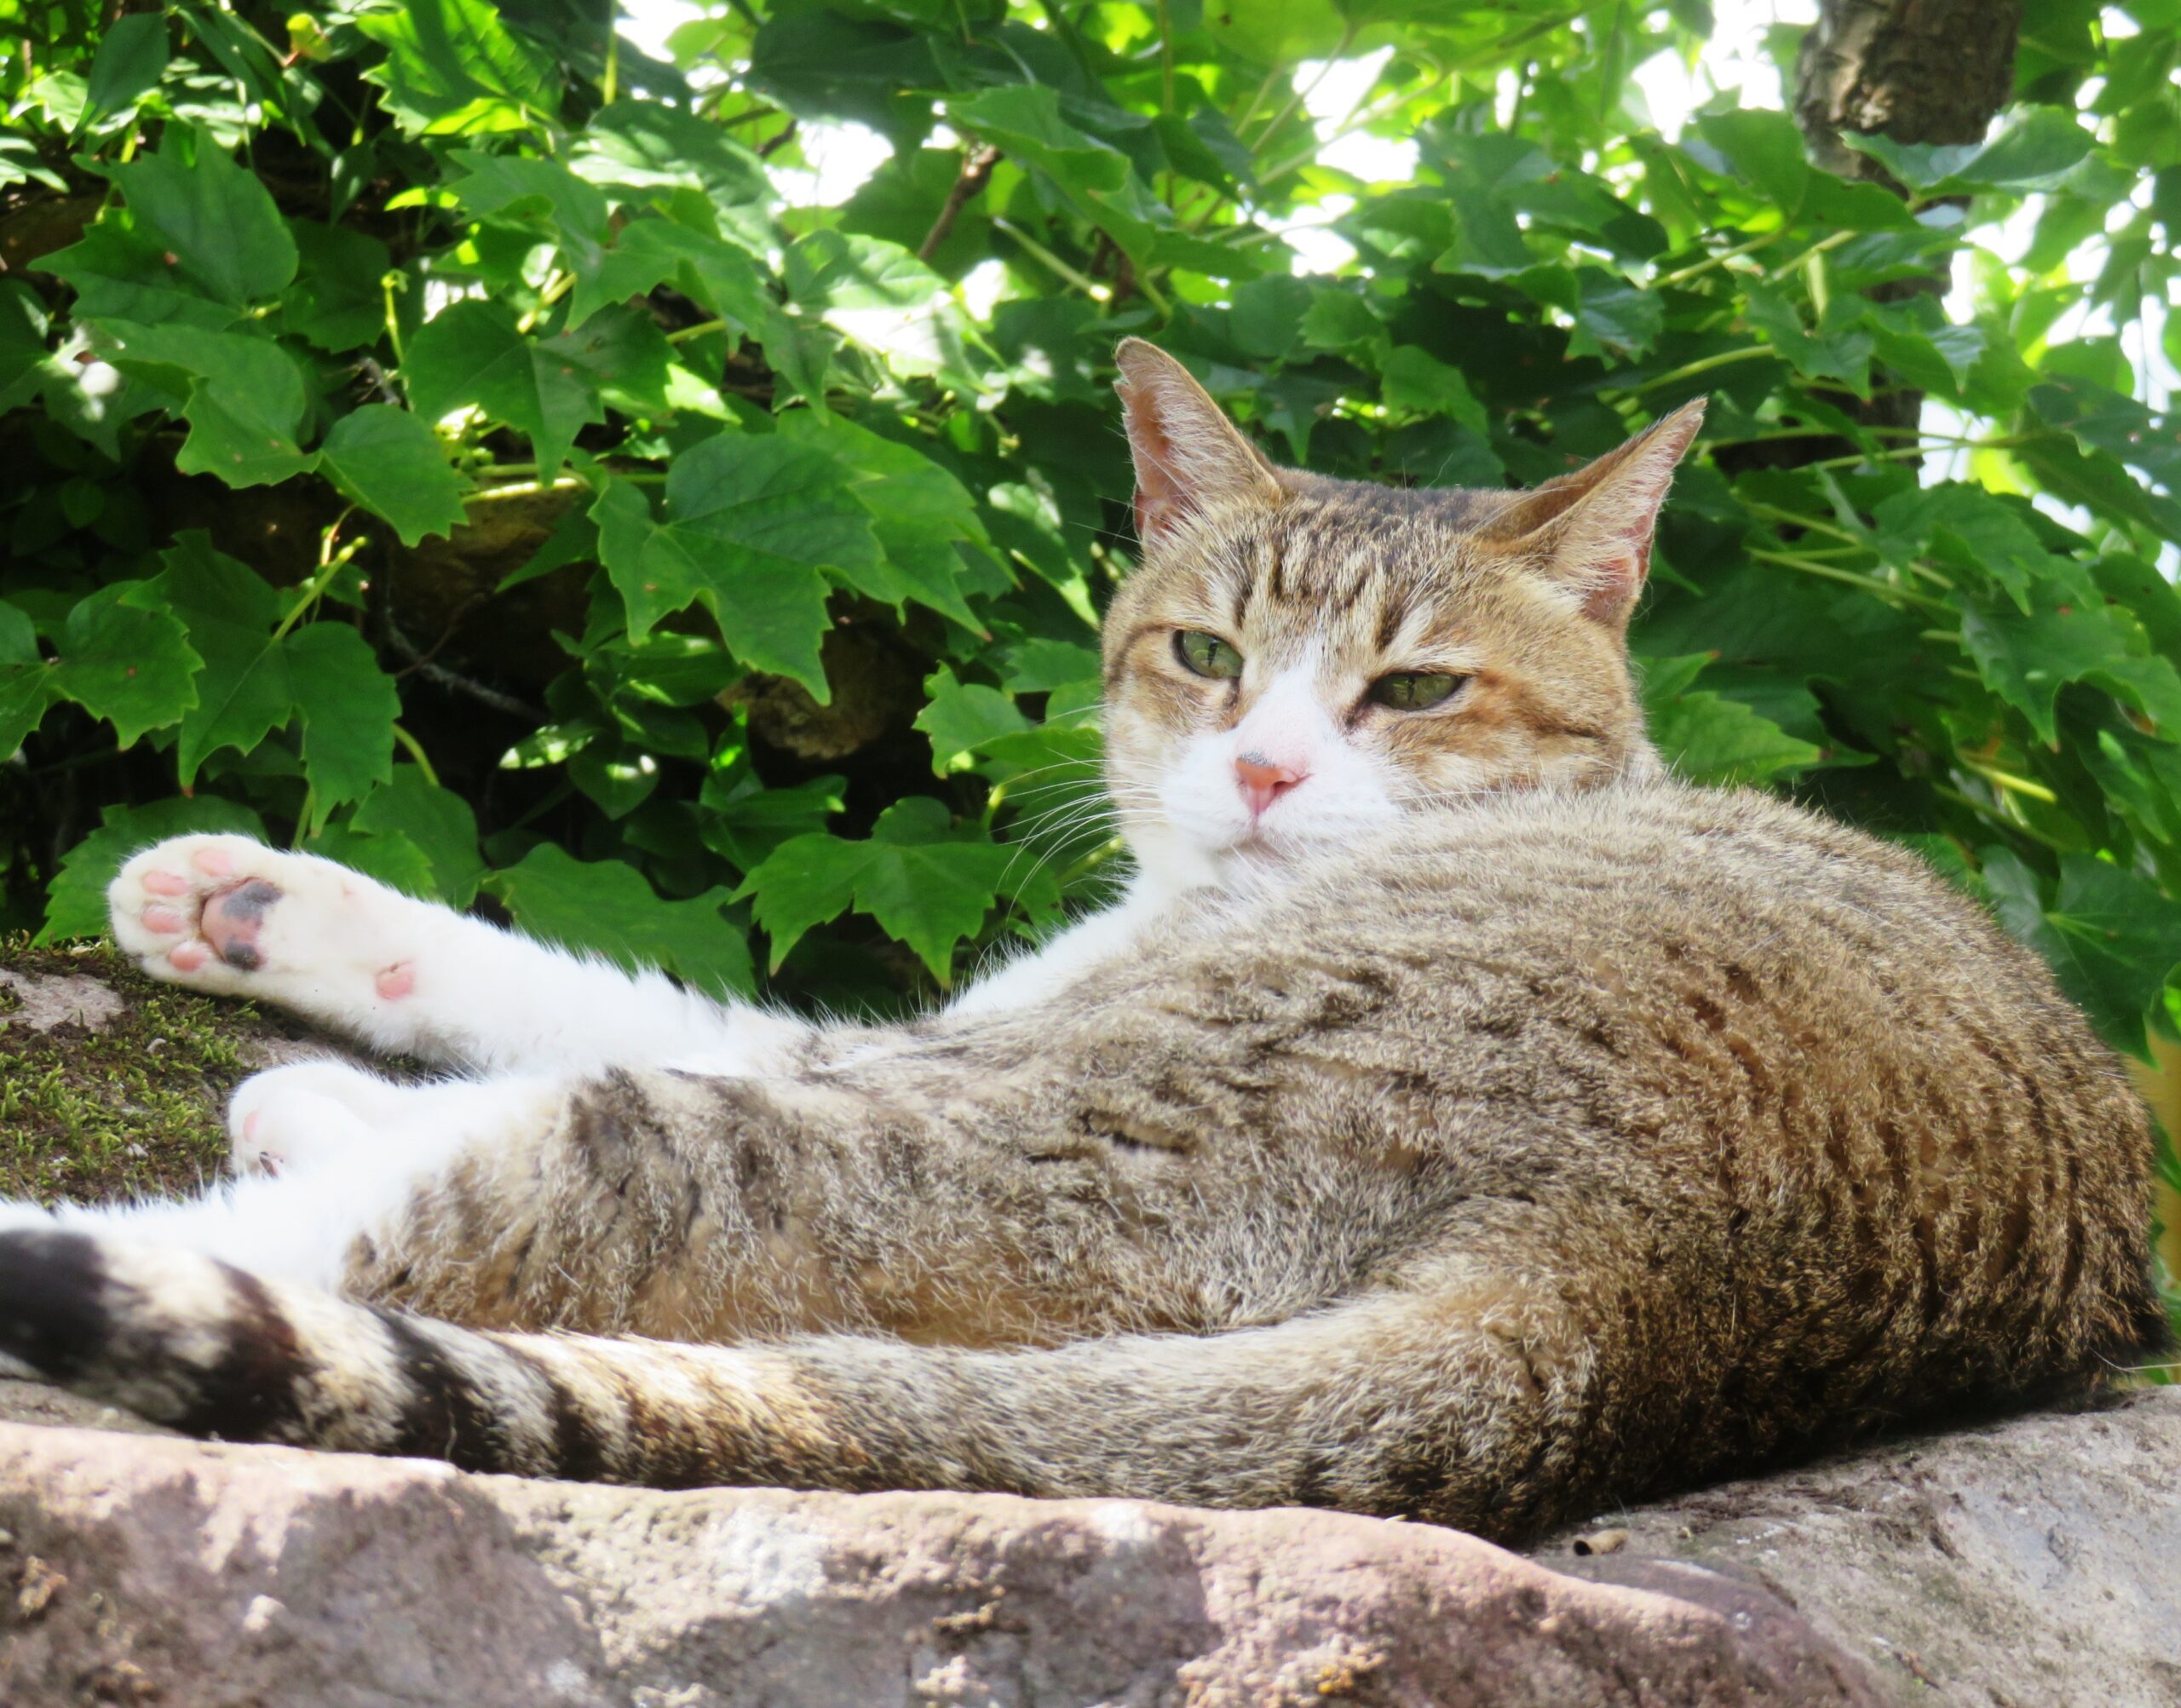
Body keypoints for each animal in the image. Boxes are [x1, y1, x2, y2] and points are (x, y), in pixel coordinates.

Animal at [0, 340, 2163, 1544]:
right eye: (1202, 653)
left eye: (1412, 690)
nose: (1265, 772)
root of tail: (1635, 1302)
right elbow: (587, 975)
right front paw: (255, 904)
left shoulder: (993, 1027)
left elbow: (646, 1020)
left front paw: (291, 1010)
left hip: (1051, 1109)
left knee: (537, 1198)